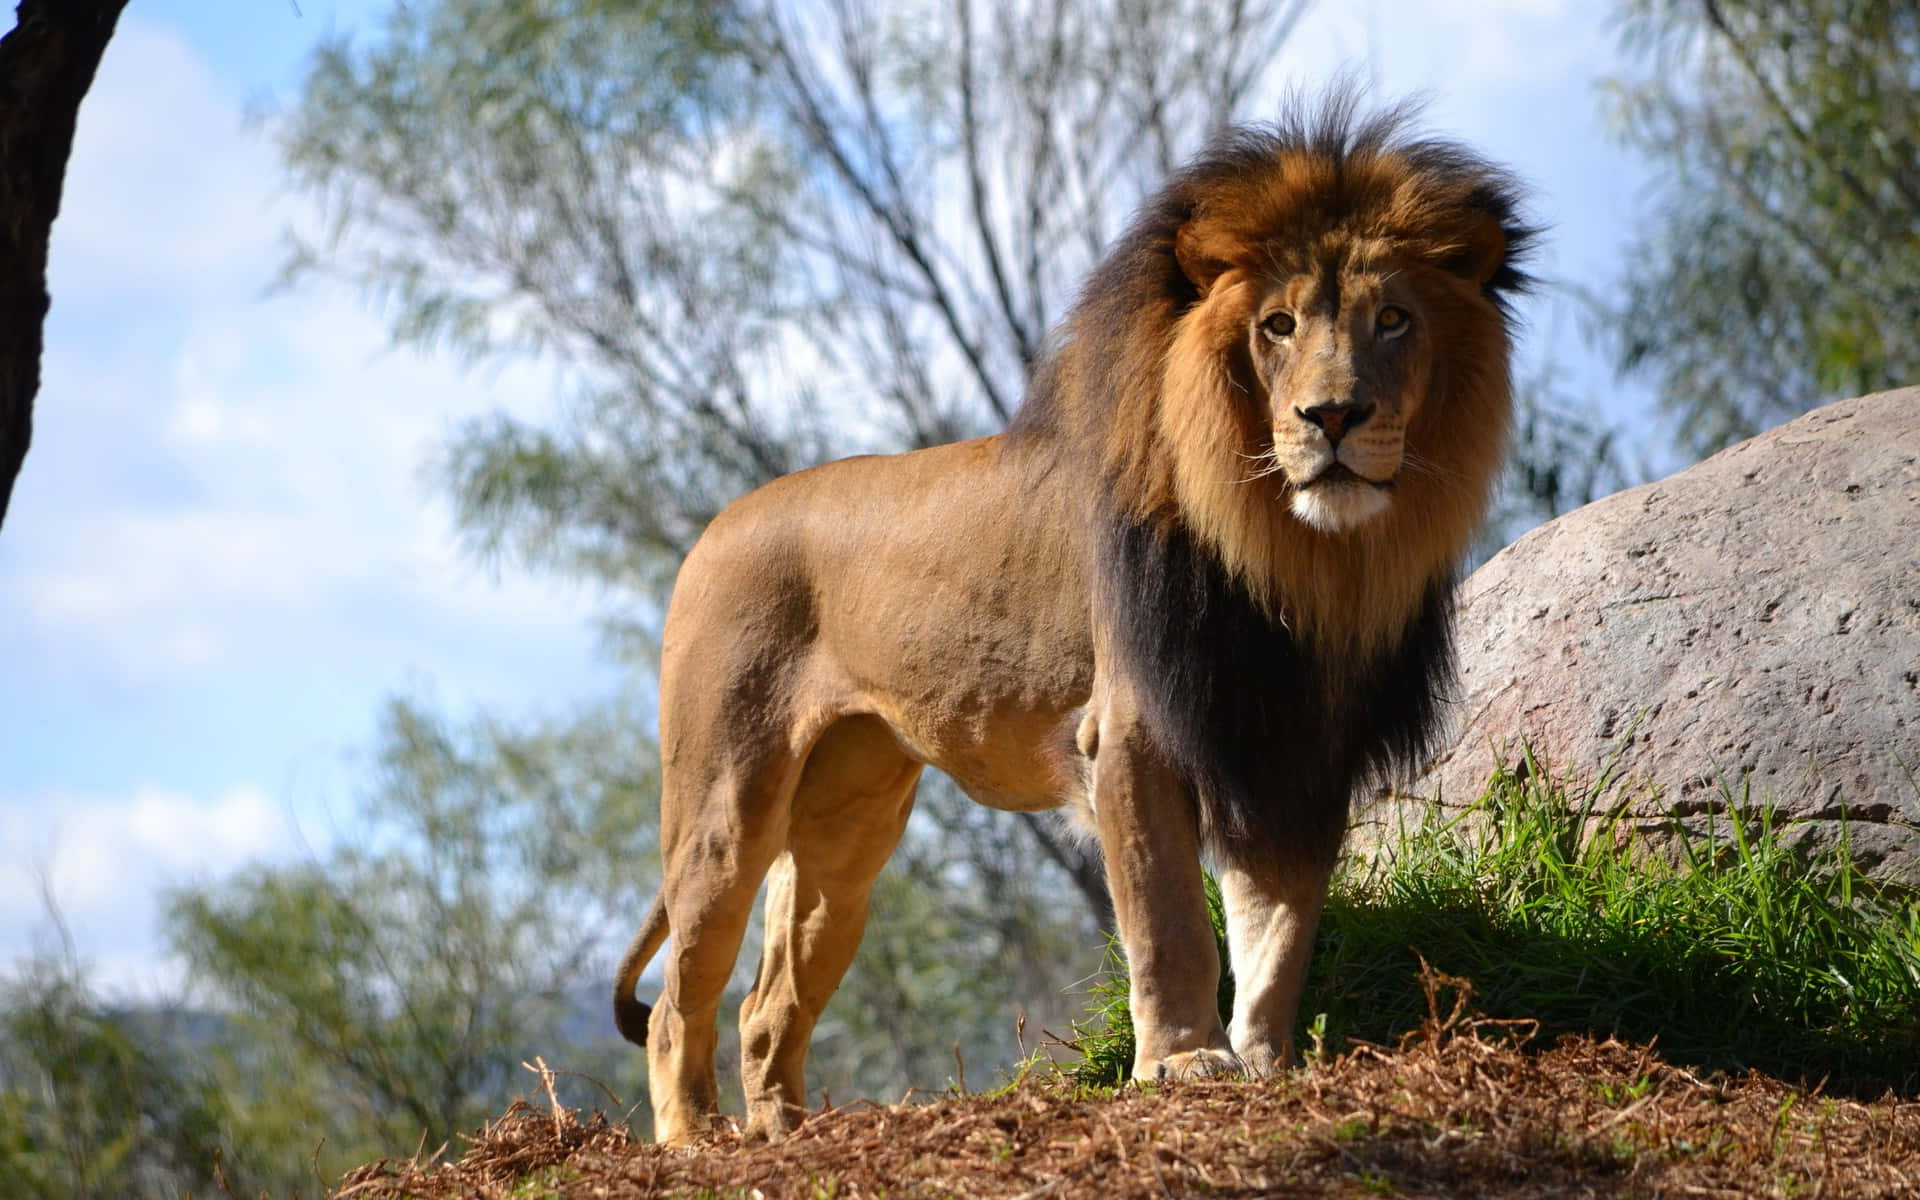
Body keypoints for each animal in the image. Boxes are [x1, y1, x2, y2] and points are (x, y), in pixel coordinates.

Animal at [613, 95, 1532, 1144]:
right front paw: (1183, 1063)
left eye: (1393, 319)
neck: (1298, 557)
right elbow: (1170, 917)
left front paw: (1268, 1062)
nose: (1333, 416)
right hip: (726, 799)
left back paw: (783, 1131)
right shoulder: (1132, 730)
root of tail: (715, 526)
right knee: (679, 997)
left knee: (768, 1004)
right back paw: (693, 1138)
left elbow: (1280, 922)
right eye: (1278, 325)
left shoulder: (1294, 743)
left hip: (848, 821)